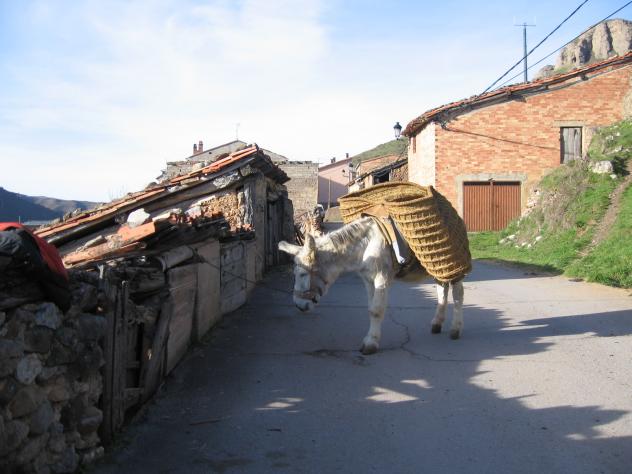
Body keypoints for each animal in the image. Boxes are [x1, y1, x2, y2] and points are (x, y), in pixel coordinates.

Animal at [278, 216, 465, 355]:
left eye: (302, 274)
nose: (299, 305)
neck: (366, 245)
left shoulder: (381, 278)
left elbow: (376, 310)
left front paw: (370, 344)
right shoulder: (368, 280)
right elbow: (370, 308)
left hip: (453, 265)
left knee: (458, 294)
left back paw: (455, 329)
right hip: (439, 268)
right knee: (442, 289)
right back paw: (437, 323)